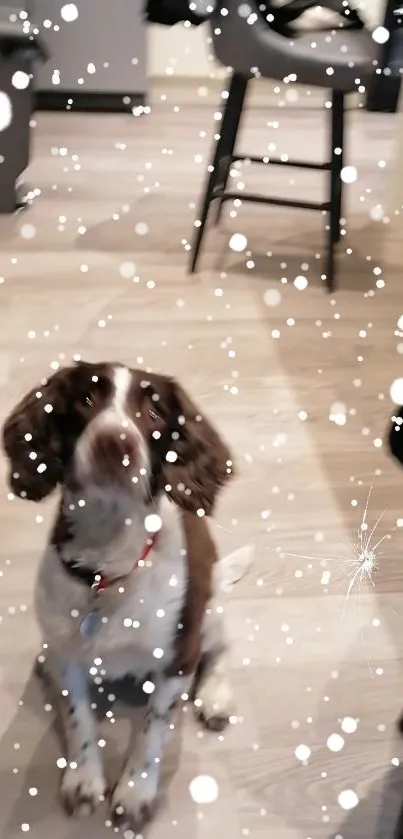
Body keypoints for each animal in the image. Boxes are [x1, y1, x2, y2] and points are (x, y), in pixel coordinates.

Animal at [2, 360, 237, 828]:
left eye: (156, 413)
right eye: (86, 399)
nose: (115, 441)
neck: (107, 565)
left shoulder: (177, 659)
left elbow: (152, 732)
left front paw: (134, 792)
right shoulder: (68, 654)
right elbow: (78, 719)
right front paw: (82, 780)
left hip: (212, 607)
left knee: (222, 648)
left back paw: (215, 695)